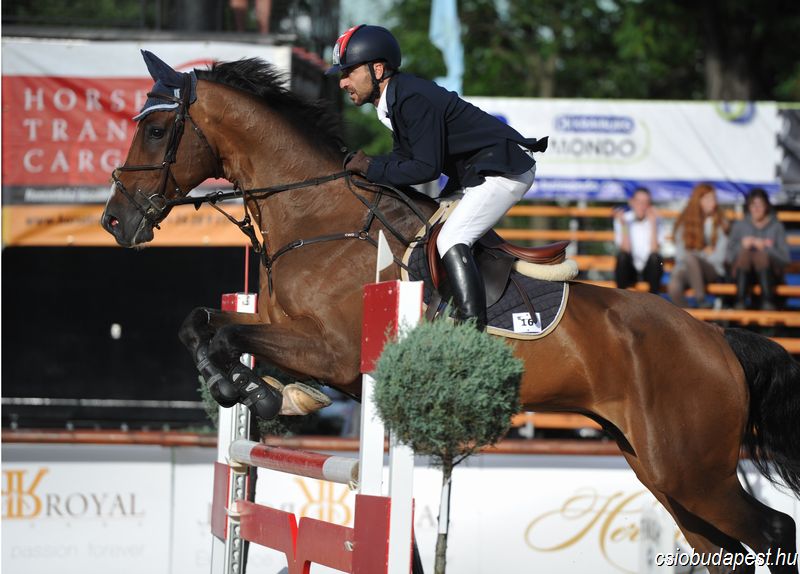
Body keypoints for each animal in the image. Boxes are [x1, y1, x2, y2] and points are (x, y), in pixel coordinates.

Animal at [103, 51, 800, 572]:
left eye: (158, 131)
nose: (115, 221)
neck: (315, 219)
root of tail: (717, 340)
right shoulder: (295, 340)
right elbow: (204, 323)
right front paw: (259, 391)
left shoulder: (332, 351)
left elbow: (226, 333)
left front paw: (248, 390)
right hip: (663, 470)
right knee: (721, 546)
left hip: (693, 469)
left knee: (773, 530)